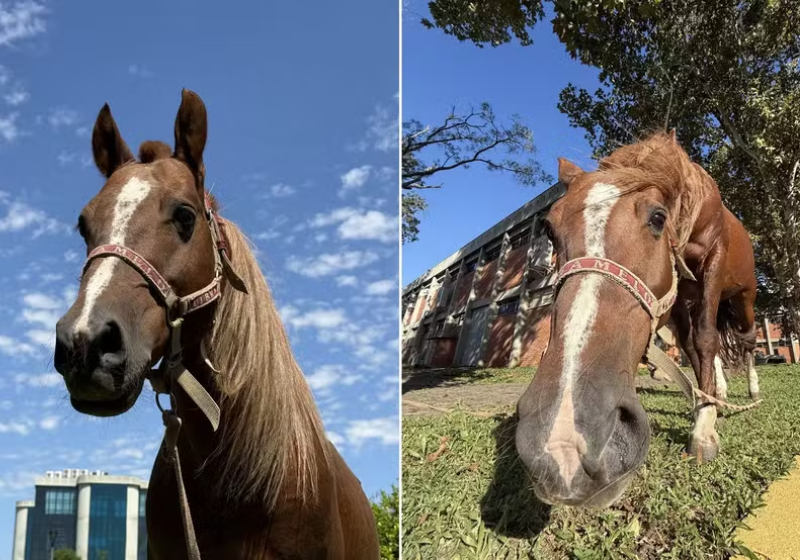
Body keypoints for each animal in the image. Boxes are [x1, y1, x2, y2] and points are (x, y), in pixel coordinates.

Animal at [515, 131, 760, 508]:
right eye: (549, 229)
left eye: (658, 218)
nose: (564, 444)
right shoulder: (676, 297)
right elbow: (694, 346)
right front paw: (705, 405)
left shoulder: (714, 258)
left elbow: (706, 338)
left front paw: (703, 429)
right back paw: (719, 389)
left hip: (743, 296)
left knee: (746, 338)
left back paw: (751, 389)